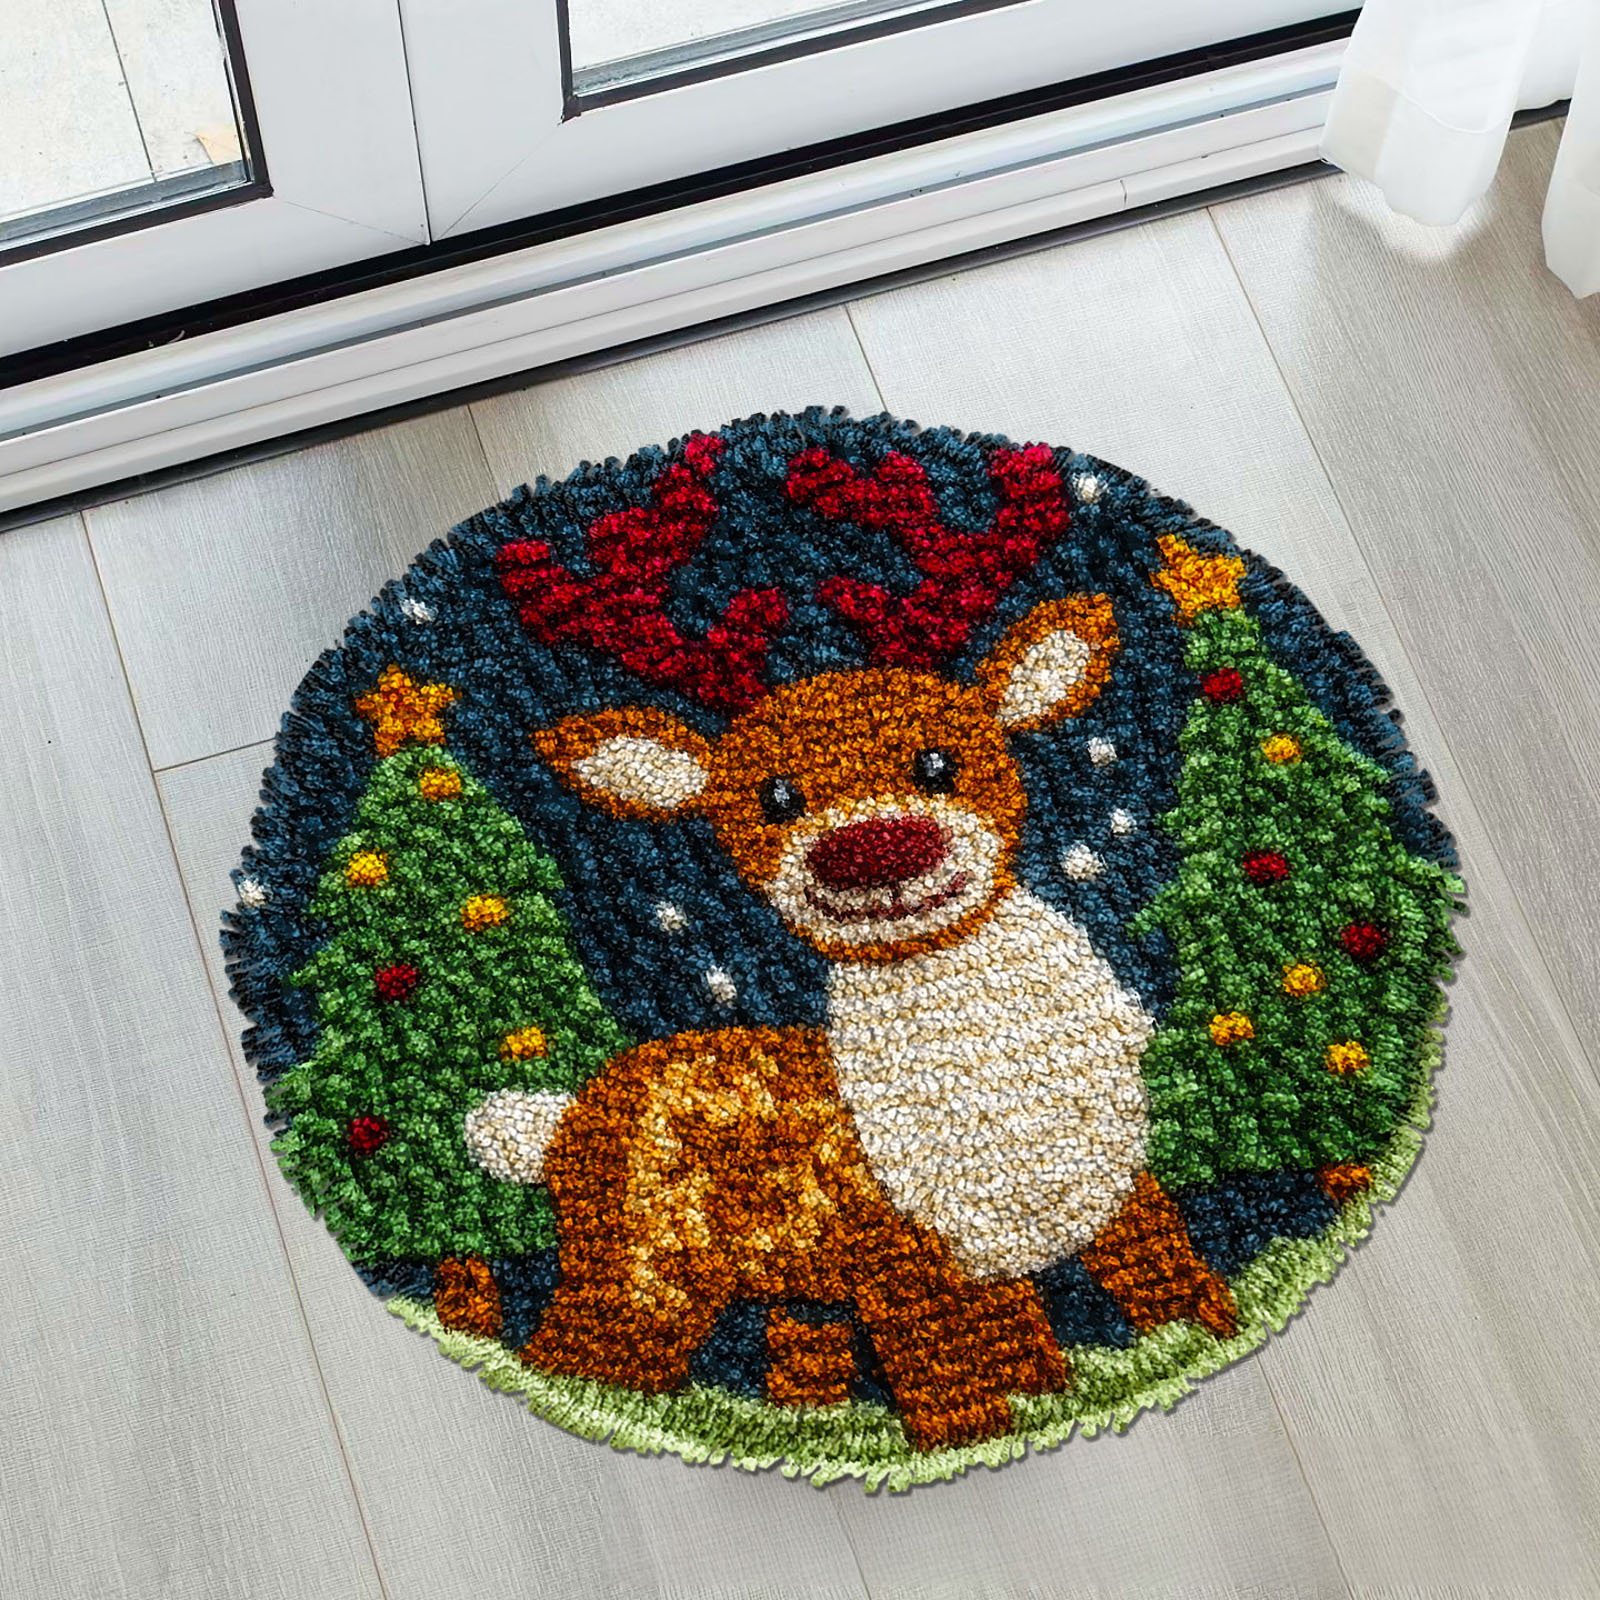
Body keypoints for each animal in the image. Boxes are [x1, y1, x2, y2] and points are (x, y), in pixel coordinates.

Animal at [462, 433, 1238, 1450]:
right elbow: (959, 1385)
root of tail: (566, 1118)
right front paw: (972, 1433)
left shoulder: (1120, 1202)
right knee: (587, 1352)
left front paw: (1180, 1337)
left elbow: (1170, 1295)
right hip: (642, 1270)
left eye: (942, 758)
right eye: (774, 796)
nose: (876, 850)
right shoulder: (919, 1270)